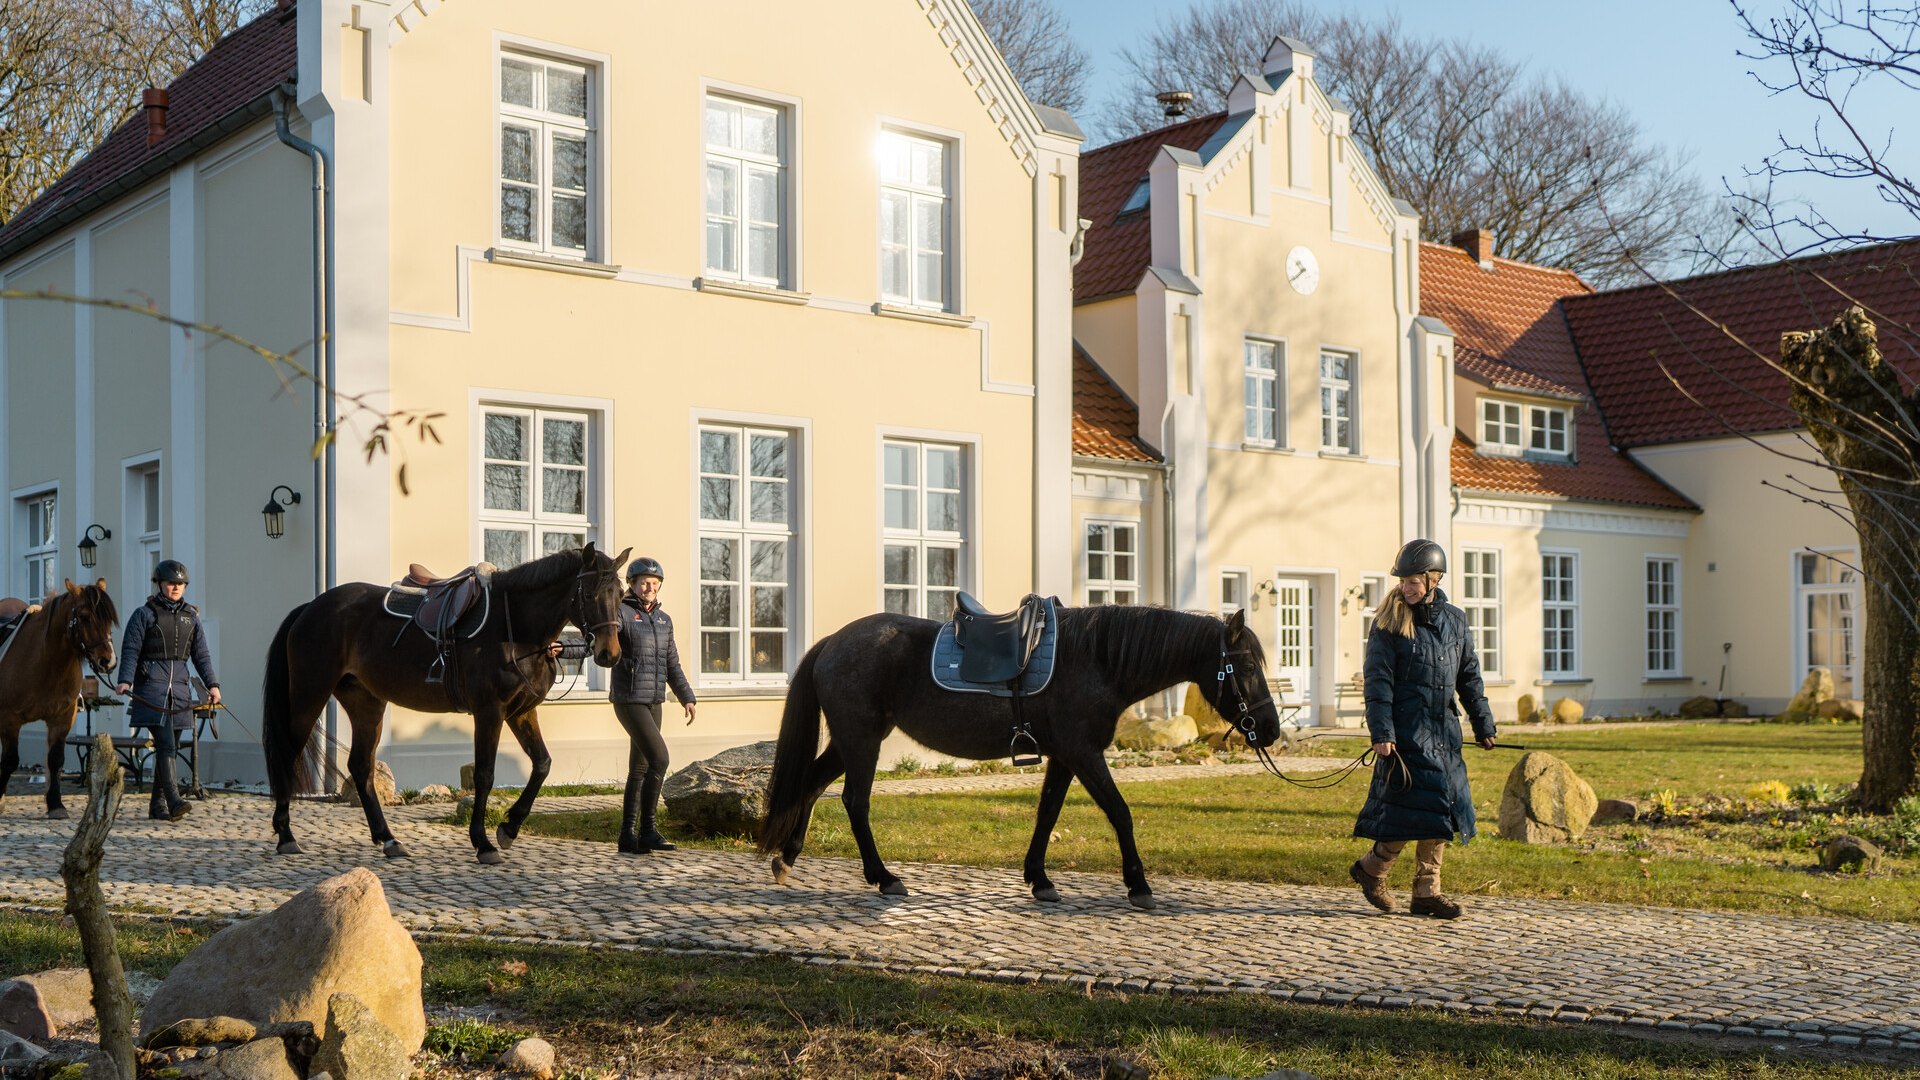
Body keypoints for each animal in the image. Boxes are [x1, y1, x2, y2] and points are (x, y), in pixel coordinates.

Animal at [0, 580, 120, 814]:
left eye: (109, 618)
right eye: (83, 616)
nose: (107, 661)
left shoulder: (62, 719)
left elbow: (55, 759)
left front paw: (55, 803)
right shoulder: (9, 719)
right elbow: (10, 761)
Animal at [263, 541, 629, 860]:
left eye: (621, 594)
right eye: (590, 593)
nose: (610, 654)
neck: (514, 628)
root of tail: (311, 608)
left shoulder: (521, 712)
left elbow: (542, 764)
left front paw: (509, 828)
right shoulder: (489, 712)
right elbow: (485, 775)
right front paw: (483, 842)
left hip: (366, 703)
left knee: (360, 767)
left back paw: (388, 839)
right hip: (309, 695)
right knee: (288, 754)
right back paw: (286, 836)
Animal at [756, 599, 1282, 903]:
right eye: (1246, 666)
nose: (1271, 729)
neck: (1096, 660)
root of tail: (832, 642)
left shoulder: (1066, 756)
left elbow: (1047, 813)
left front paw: (1040, 879)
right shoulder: (1084, 752)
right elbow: (1120, 812)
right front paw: (1138, 884)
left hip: (853, 739)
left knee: (811, 785)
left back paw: (788, 858)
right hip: (862, 739)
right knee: (854, 802)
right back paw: (883, 877)